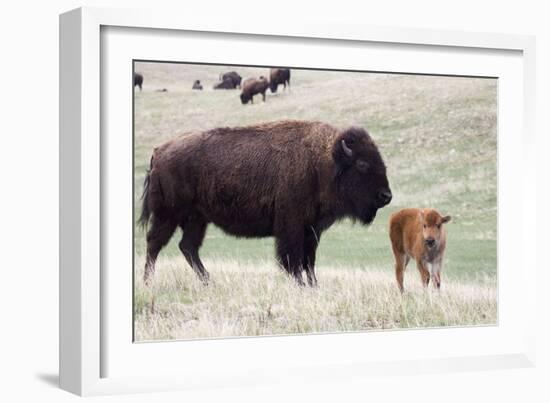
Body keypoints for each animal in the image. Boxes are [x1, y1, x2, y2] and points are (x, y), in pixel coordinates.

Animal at [140, 120, 394, 288]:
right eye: (362, 164)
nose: (386, 196)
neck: (323, 162)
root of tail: (159, 151)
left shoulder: (312, 229)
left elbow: (309, 260)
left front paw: (314, 285)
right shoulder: (292, 226)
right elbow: (293, 258)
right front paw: (301, 285)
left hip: (197, 219)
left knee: (188, 247)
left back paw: (208, 281)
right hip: (168, 215)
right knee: (155, 243)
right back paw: (148, 281)